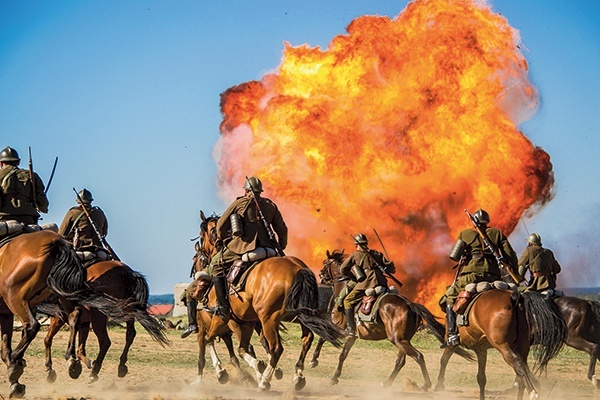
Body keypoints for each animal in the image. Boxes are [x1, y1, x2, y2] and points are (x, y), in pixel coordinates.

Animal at [0, 230, 123, 398]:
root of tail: (56, 242)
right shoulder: (5, 313)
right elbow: (5, 347)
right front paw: (16, 385)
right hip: (62, 296)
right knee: (74, 317)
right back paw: (72, 359)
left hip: (15, 298)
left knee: (32, 326)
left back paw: (16, 361)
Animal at [197, 211, 342, 392]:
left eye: (202, 235)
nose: (201, 257)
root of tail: (296, 268)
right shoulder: (247, 323)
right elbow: (243, 348)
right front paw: (258, 368)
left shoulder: (226, 319)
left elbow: (213, 340)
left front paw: (221, 372)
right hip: (300, 316)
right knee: (306, 339)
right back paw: (297, 376)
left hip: (269, 320)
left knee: (276, 349)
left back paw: (264, 382)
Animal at [312, 248, 476, 390]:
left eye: (325, 263)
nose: (320, 276)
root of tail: (410, 304)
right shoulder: (350, 335)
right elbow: (339, 350)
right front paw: (323, 367)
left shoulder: (342, 329)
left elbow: (329, 343)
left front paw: (320, 365)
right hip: (402, 340)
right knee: (401, 361)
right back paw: (387, 382)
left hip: (397, 340)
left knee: (418, 356)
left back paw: (425, 384)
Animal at [432, 288, 568, 396]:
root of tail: (514, 298)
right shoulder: (481, 349)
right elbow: (481, 378)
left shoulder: (452, 344)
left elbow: (444, 360)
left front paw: (439, 384)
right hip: (522, 346)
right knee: (522, 368)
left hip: (503, 346)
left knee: (517, 363)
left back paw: (532, 392)